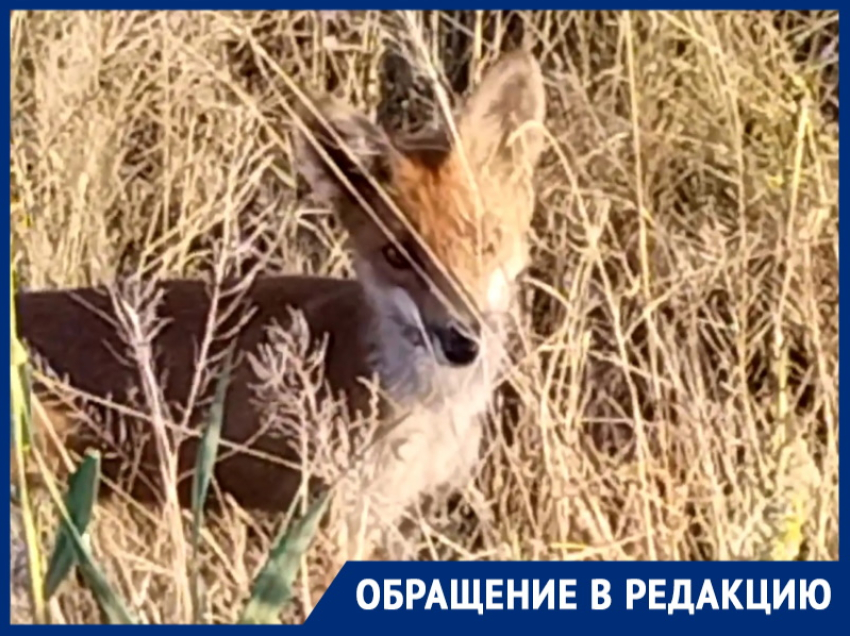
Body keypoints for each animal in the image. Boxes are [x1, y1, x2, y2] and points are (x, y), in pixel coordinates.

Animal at [12, 49, 547, 560]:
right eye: (397, 256)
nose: (460, 341)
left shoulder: (406, 518)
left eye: (484, 242)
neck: (429, 407)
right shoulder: (332, 520)